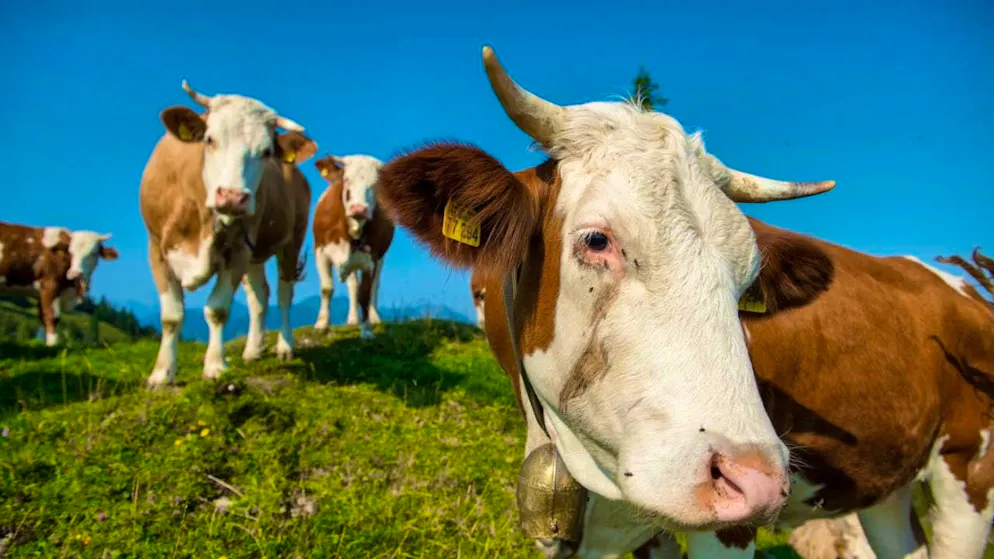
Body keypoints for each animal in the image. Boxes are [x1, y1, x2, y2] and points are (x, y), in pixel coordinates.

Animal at [139, 81, 316, 387]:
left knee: (284, 293)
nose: (233, 197)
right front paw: (162, 374)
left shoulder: (238, 251)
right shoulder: (156, 247)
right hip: (256, 252)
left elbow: (217, 309)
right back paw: (253, 350)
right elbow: (171, 316)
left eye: (266, 151)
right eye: (209, 139)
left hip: (291, 240)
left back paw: (285, 346)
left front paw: (215, 366)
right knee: (259, 295)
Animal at [311, 154, 395, 339]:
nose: (359, 209)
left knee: (374, 285)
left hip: (381, 258)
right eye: (346, 179)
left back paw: (374, 317)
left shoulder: (370, 259)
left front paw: (367, 330)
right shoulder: (320, 251)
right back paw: (352, 319)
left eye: (376, 185)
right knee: (352, 284)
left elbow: (365, 293)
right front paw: (321, 324)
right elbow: (327, 288)